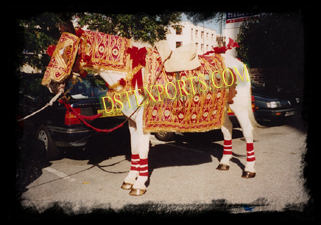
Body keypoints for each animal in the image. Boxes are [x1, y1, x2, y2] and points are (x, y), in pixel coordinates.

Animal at [99, 52, 258, 195]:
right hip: (220, 109)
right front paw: (129, 180)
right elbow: (134, 150)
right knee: (227, 129)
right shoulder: (132, 123)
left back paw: (249, 170)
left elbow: (143, 151)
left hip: (239, 106)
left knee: (247, 131)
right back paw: (224, 163)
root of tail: (239, 63)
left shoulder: (143, 124)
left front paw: (139, 185)